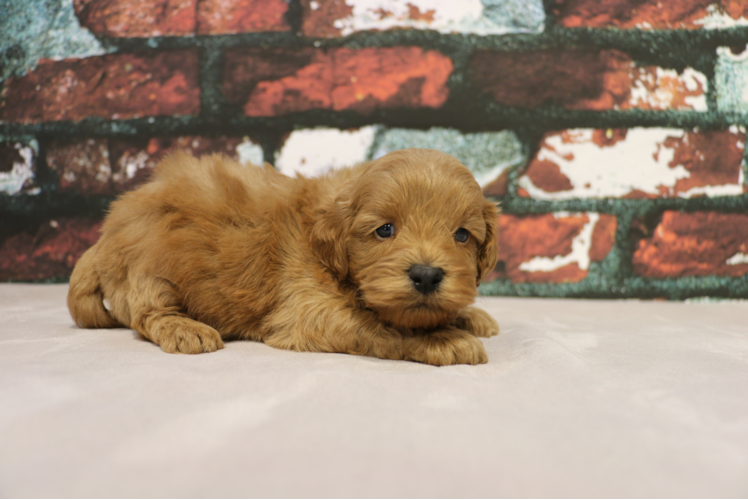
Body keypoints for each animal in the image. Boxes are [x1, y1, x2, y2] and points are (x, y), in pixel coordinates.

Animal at [67, 146, 500, 366]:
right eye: (385, 230)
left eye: (462, 235)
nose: (426, 275)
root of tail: (106, 231)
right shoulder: (310, 311)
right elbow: (385, 328)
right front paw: (445, 340)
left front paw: (467, 316)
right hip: (149, 267)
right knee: (148, 314)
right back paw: (185, 328)